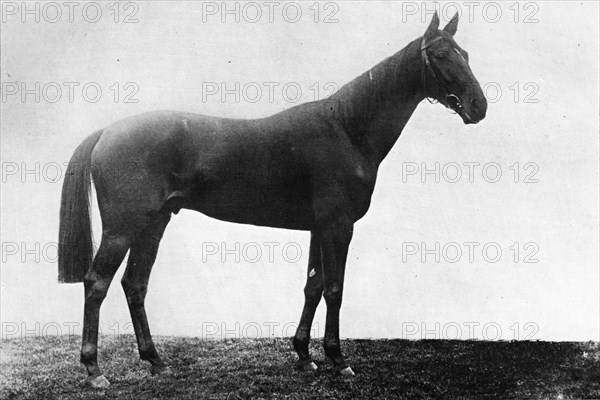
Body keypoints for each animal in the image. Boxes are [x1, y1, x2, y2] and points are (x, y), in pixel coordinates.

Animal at [57, 12, 488, 388]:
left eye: (466, 54)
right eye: (440, 55)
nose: (479, 106)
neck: (346, 129)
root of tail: (107, 131)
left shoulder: (319, 228)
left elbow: (313, 287)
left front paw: (304, 356)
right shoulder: (338, 226)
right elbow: (335, 289)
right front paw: (338, 360)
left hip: (154, 224)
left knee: (135, 285)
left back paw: (156, 362)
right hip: (123, 229)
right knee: (97, 283)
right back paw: (94, 371)